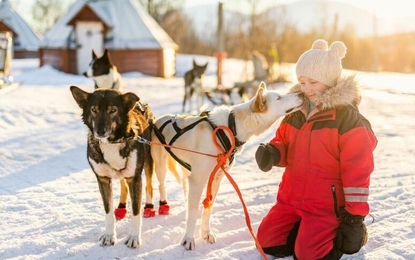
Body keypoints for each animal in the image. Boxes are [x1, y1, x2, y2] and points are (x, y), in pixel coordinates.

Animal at [151, 83, 304, 250]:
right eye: (279, 98)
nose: (302, 94)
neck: (231, 128)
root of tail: (159, 118)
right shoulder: (198, 180)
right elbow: (193, 212)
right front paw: (188, 238)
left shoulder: (217, 178)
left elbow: (208, 207)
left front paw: (206, 233)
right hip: (161, 167)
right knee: (162, 186)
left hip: (186, 169)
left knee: (185, 189)